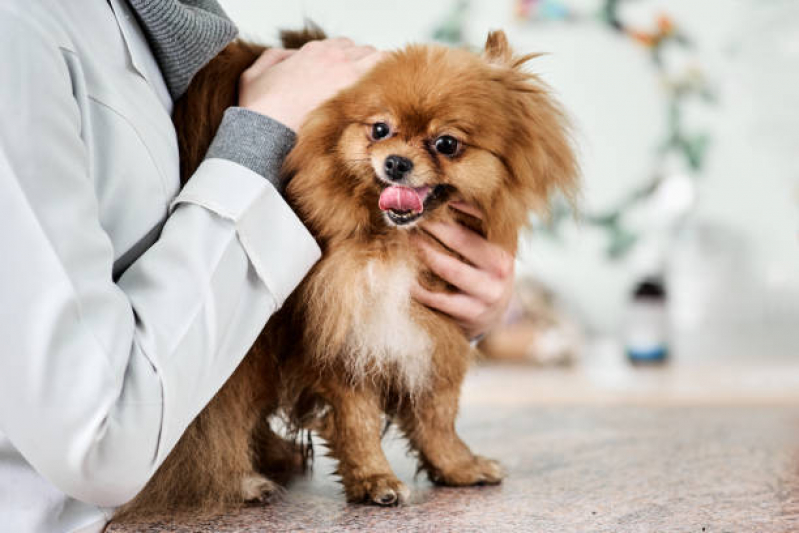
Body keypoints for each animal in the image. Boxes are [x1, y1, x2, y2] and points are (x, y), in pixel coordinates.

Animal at [114, 27, 576, 520]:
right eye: (380, 129)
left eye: (447, 144)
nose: (395, 162)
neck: (391, 241)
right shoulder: (342, 331)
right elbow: (357, 420)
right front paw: (374, 480)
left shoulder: (431, 326)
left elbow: (436, 411)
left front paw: (456, 466)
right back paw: (243, 479)